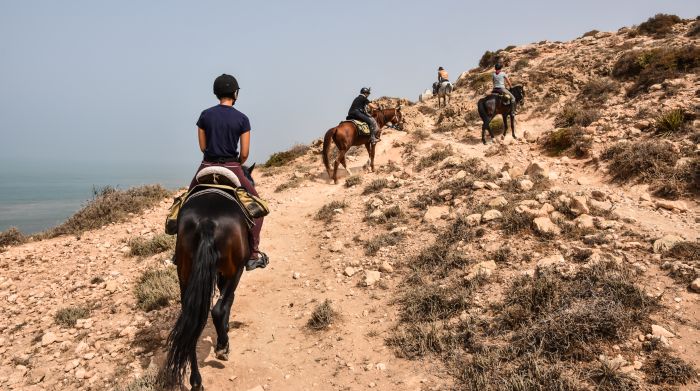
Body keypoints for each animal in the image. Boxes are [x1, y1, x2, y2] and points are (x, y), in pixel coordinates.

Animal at [164, 166, 258, 391]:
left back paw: (196, 381)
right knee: (217, 309)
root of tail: (207, 222)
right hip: (235, 270)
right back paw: (223, 347)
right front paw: (224, 334)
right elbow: (227, 301)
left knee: (192, 322)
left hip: (185, 274)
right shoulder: (229, 273)